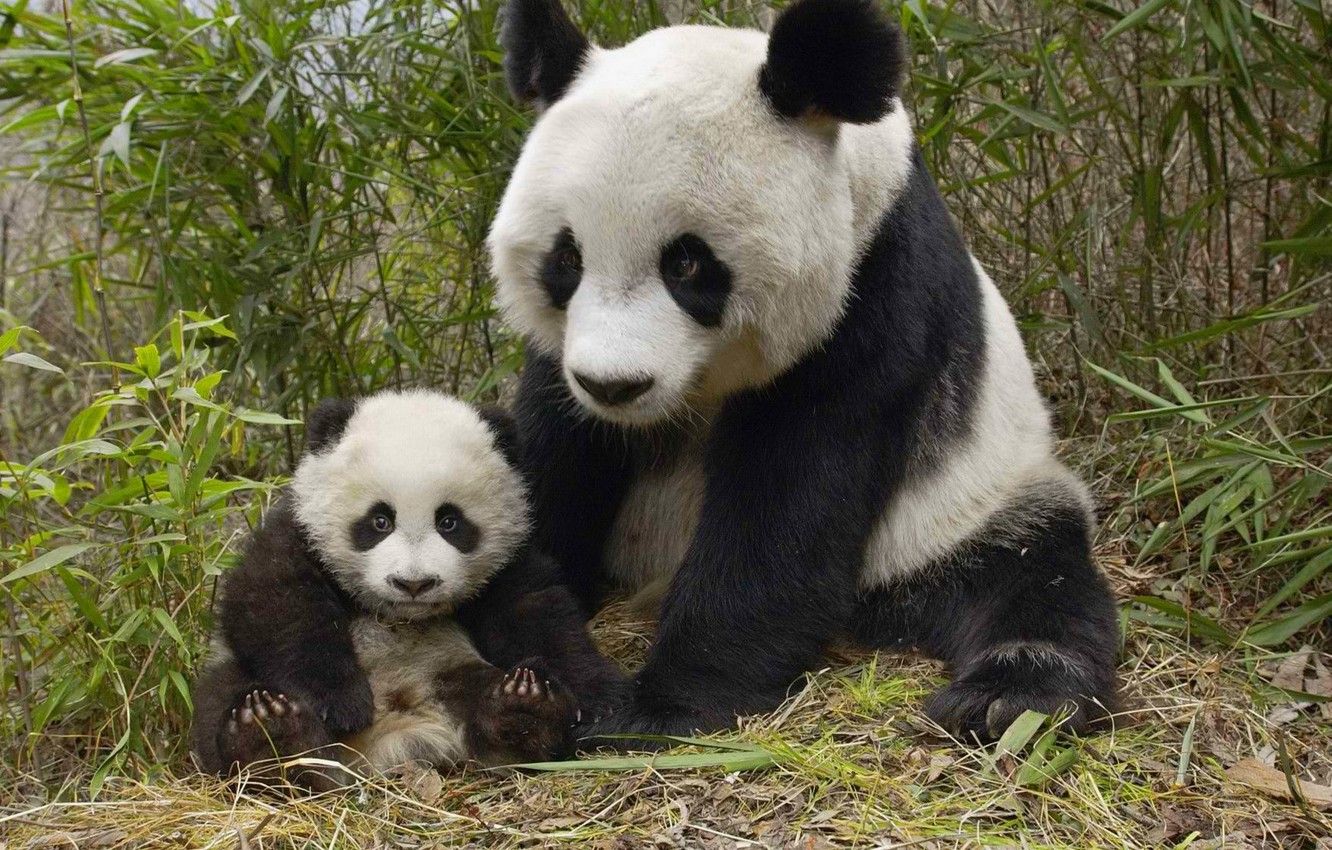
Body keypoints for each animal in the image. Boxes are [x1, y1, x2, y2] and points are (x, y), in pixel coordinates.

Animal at [191, 389, 623, 788]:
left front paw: (598, 699)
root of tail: (392, 738)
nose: (413, 583)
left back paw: (524, 711)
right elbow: (274, 603)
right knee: (222, 695)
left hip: (449, 669)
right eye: (380, 520)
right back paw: (269, 737)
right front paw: (341, 701)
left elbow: (537, 613)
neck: (399, 615)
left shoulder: (508, 560)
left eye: (449, 522)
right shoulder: (297, 532)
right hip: (234, 677)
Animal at [487, 0, 1120, 743]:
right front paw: (540, 673)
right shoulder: (561, 361)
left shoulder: (873, 294)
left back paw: (1009, 696)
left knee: (1032, 571)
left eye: (687, 263)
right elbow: (554, 460)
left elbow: (789, 500)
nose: (614, 386)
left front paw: (662, 704)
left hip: (966, 505)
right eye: (567, 259)